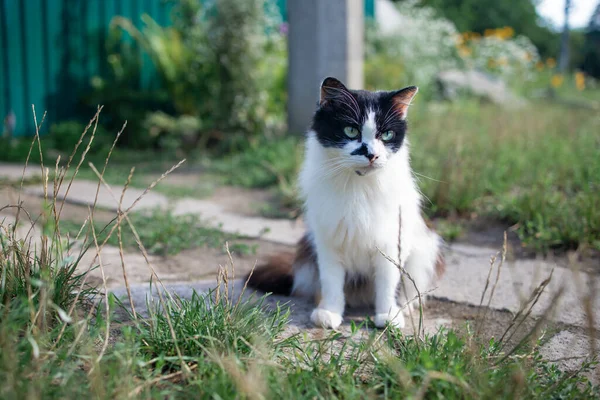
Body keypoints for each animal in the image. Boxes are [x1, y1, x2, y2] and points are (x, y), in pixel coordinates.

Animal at [245, 77, 446, 328]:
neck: (358, 186)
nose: (372, 155)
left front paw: (389, 314)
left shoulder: (391, 240)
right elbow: (331, 281)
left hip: (424, 248)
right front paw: (330, 312)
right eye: (351, 131)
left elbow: (388, 282)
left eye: (387, 135)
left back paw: (406, 308)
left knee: (411, 288)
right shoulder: (328, 239)